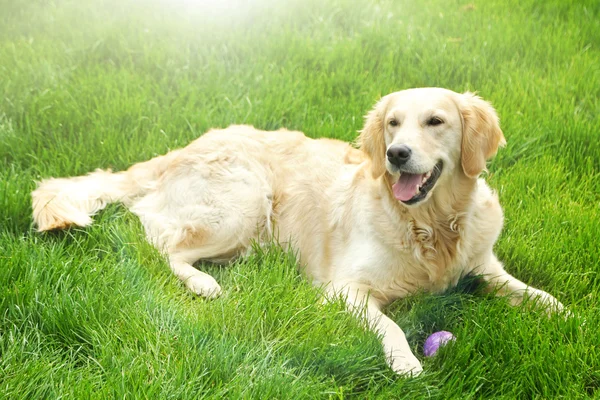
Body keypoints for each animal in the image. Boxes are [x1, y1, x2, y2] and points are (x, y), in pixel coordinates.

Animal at [29, 86, 564, 376]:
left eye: (435, 121)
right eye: (393, 124)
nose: (396, 154)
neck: (430, 225)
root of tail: (182, 148)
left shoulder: (482, 265)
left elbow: (531, 293)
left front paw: (564, 315)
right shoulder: (346, 289)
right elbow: (390, 324)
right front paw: (406, 362)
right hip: (243, 203)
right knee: (163, 244)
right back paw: (204, 283)